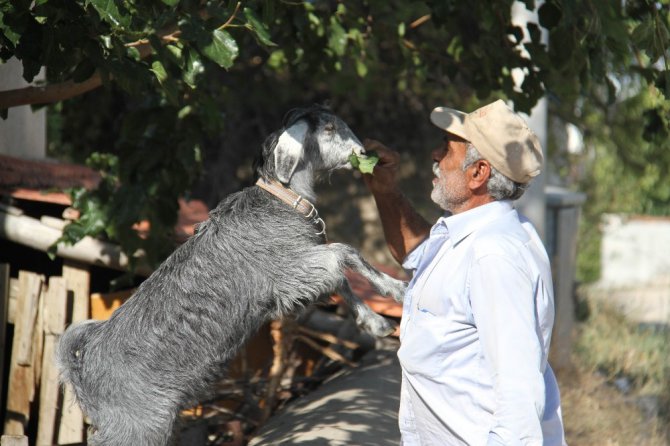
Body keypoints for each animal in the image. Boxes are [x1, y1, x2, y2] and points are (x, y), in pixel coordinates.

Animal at [55, 106, 406, 444]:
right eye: (330, 128)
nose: (363, 150)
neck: (281, 201)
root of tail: (81, 367)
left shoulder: (296, 282)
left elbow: (339, 276)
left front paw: (375, 322)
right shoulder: (287, 271)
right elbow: (344, 253)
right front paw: (397, 290)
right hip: (136, 426)